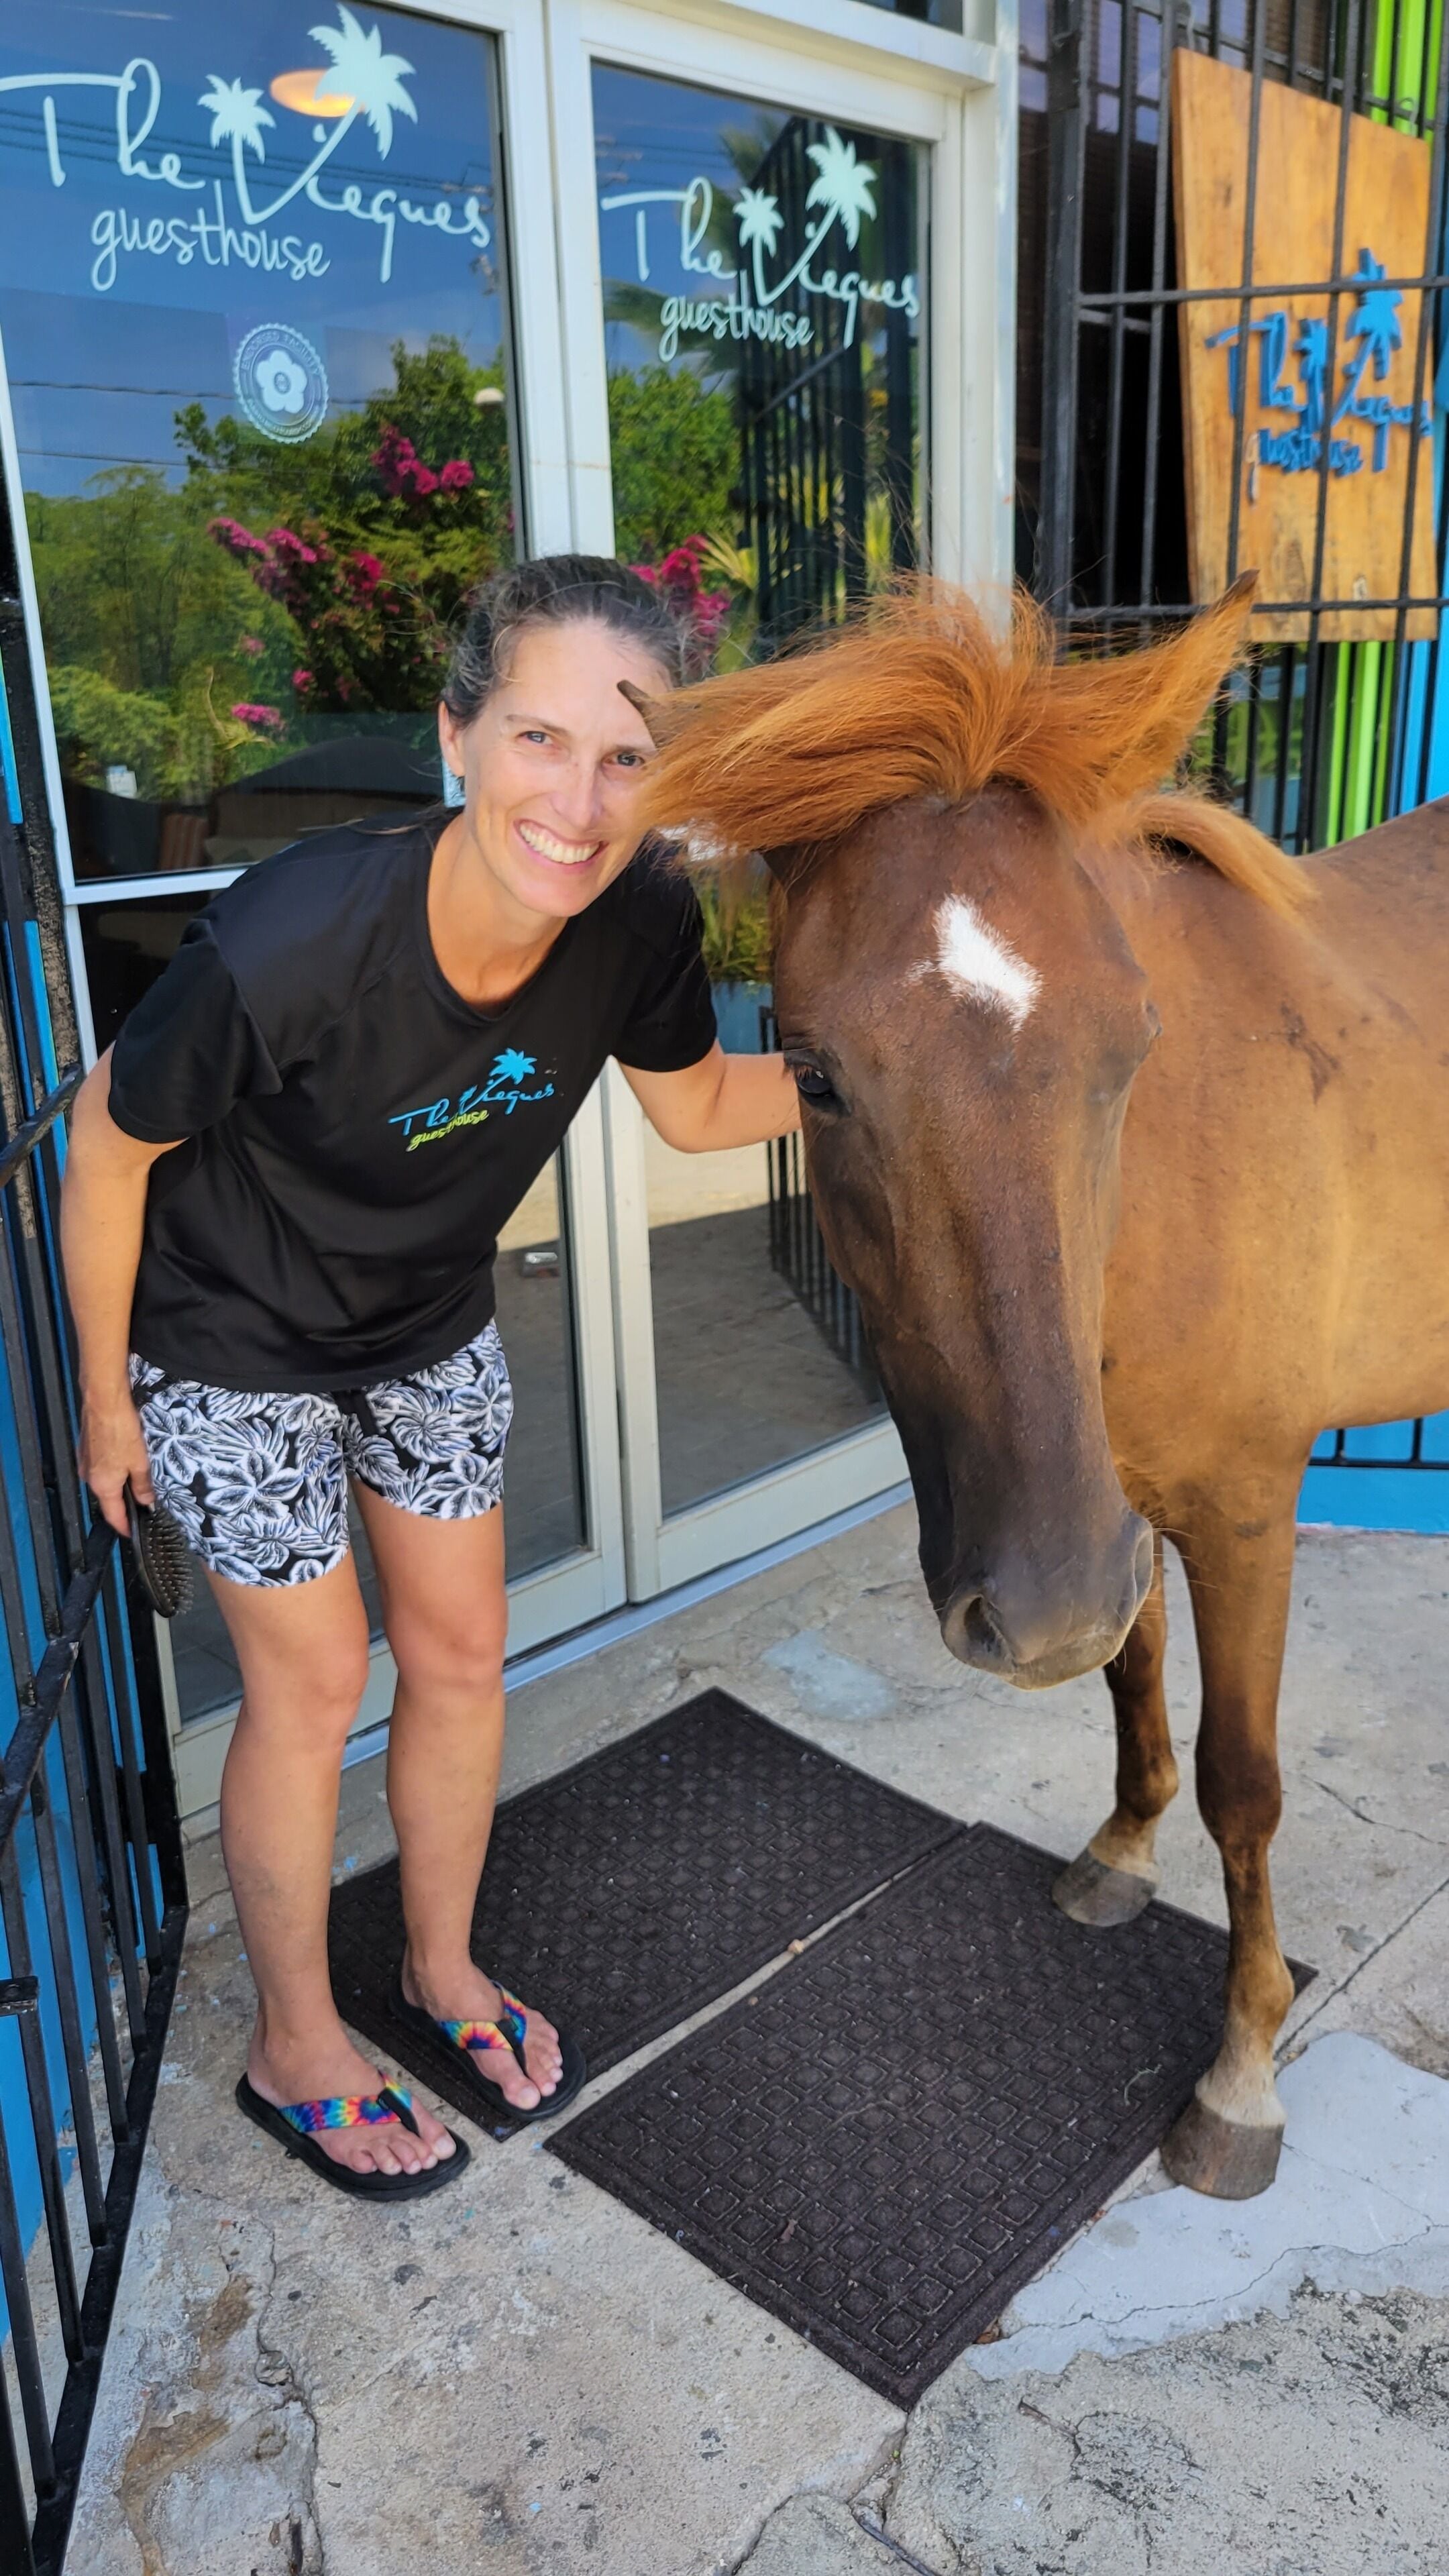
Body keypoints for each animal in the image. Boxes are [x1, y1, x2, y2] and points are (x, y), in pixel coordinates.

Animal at [626, 576, 1449, 2199]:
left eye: (1132, 1047)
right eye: (810, 1072)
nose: (1037, 1609)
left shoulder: (1242, 1511)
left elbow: (1244, 1780)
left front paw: (1242, 2073)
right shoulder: (1103, 1506)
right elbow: (1129, 1675)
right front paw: (1120, 1859)